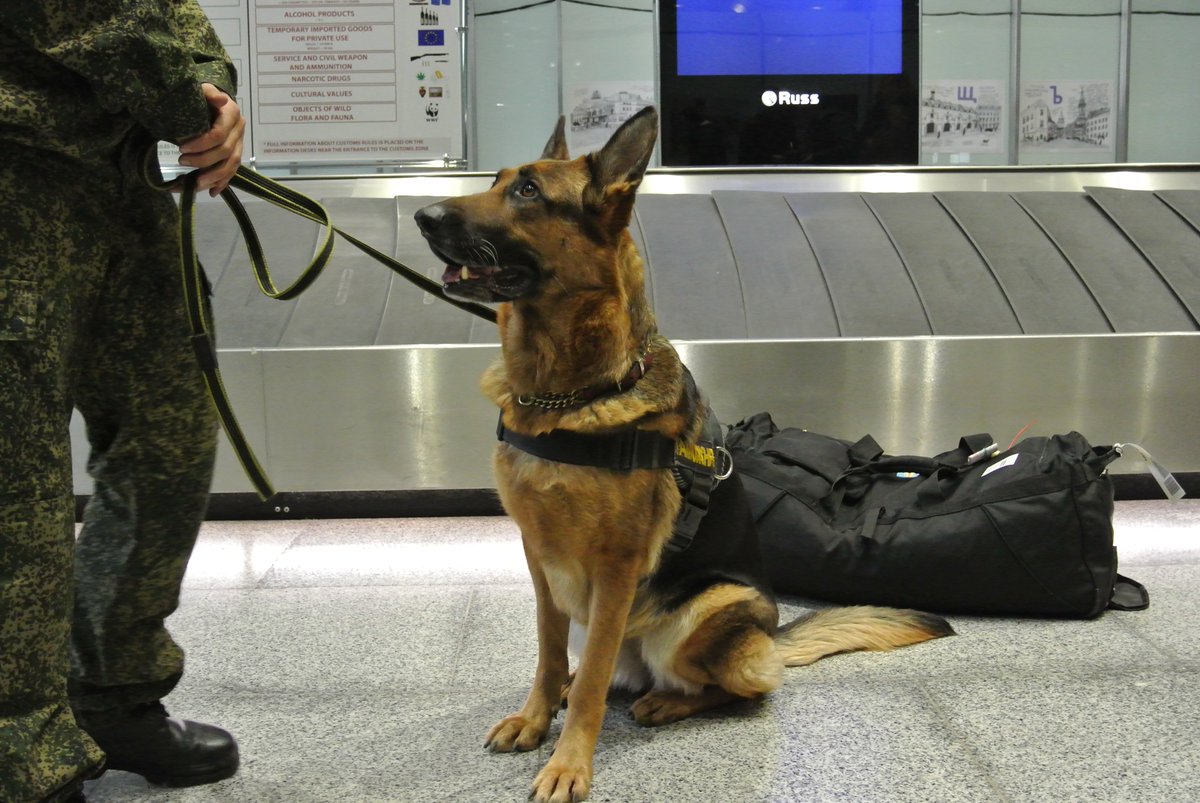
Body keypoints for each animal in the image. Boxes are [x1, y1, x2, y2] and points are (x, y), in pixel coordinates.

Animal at [417, 108, 950, 801]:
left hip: (707, 612)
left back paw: (669, 701)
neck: (569, 395)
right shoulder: (539, 558)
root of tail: (771, 637)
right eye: (497, 180)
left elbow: (592, 683)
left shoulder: (616, 567)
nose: (423, 216)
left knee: (738, 688)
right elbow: (548, 651)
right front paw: (537, 717)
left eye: (528, 191)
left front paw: (569, 763)